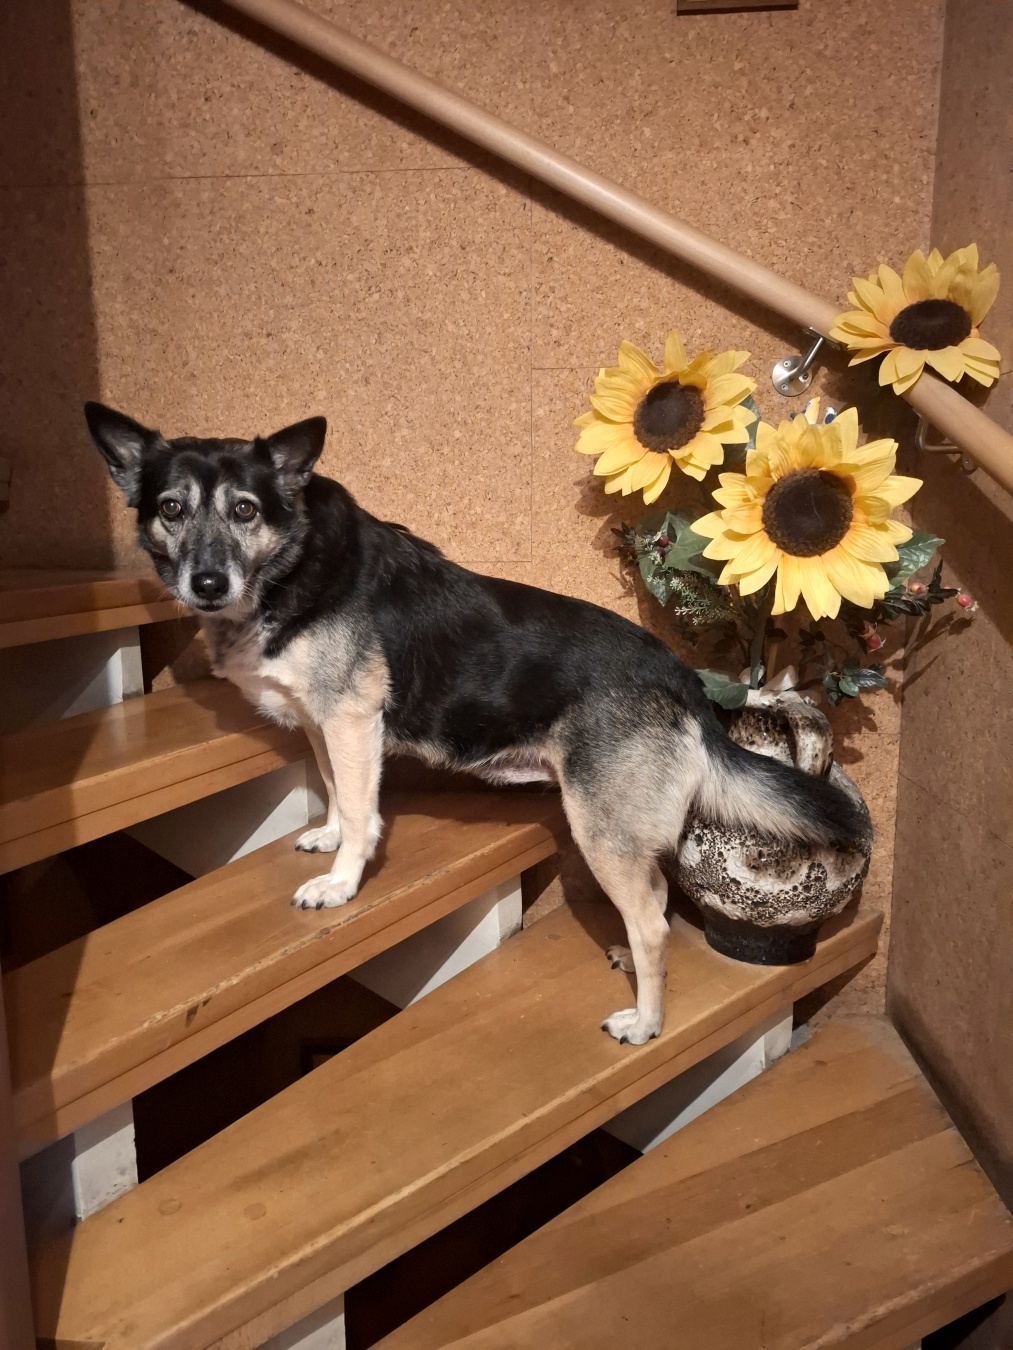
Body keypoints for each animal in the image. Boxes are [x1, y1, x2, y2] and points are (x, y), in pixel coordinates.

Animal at [85, 405, 864, 1047]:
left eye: (245, 510)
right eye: (171, 508)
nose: (206, 585)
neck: (291, 560)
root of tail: (680, 679)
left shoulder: (350, 719)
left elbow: (362, 810)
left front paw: (341, 883)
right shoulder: (323, 724)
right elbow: (336, 791)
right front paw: (329, 838)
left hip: (599, 828)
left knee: (649, 920)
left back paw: (645, 1020)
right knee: (657, 903)